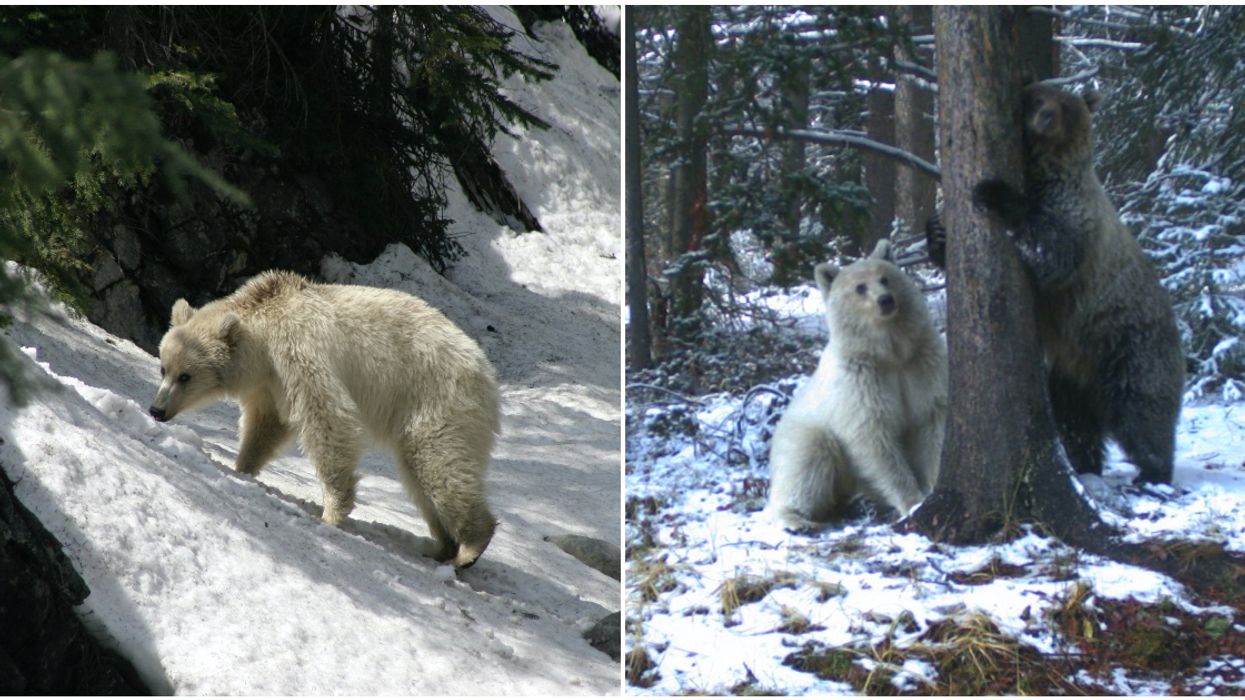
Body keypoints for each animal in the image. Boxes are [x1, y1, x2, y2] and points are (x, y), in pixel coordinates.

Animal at [147, 270, 500, 569]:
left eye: (185, 376)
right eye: (164, 368)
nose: (157, 410)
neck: (267, 322)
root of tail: (484, 370)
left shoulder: (298, 352)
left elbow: (327, 418)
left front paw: (330, 513)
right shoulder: (270, 382)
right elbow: (266, 426)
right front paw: (242, 467)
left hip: (437, 400)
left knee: (439, 462)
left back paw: (469, 547)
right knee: (420, 475)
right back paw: (443, 546)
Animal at [767, 239, 948, 530]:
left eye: (885, 278)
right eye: (860, 287)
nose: (885, 300)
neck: (890, 354)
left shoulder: (923, 366)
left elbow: (931, 423)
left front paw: (932, 487)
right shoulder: (860, 381)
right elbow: (874, 438)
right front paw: (912, 503)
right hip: (804, 432)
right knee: (806, 463)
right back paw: (797, 519)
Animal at [969, 83, 1185, 484]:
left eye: (1065, 106)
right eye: (1037, 98)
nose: (1045, 118)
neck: (1044, 169)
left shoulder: (1074, 214)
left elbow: (1053, 252)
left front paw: (994, 193)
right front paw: (937, 233)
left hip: (1129, 345)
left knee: (1141, 410)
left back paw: (1153, 470)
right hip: (1069, 373)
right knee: (1075, 423)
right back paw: (1086, 465)